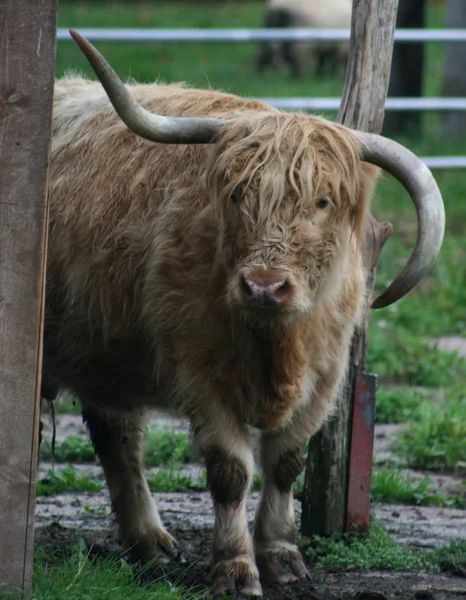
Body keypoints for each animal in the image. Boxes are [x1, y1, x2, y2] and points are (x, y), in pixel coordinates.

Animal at [42, 31, 444, 596]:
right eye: (236, 195)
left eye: (323, 200)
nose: (264, 286)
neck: (275, 346)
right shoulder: (203, 377)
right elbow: (231, 471)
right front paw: (235, 567)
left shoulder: (325, 379)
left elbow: (288, 463)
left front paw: (281, 555)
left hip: (105, 352)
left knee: (117, 437)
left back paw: (151, 546)